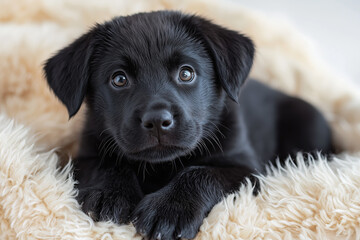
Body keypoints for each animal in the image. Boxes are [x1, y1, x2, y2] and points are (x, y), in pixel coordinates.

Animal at [43, 10, 334, 240]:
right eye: (119, 79)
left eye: (186, 73)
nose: (157, 121)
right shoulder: (84, 156)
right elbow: (107, 164)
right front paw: (109, 194)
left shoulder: (246, 169)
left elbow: (201, 173)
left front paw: (170, 210)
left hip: (309, 122)